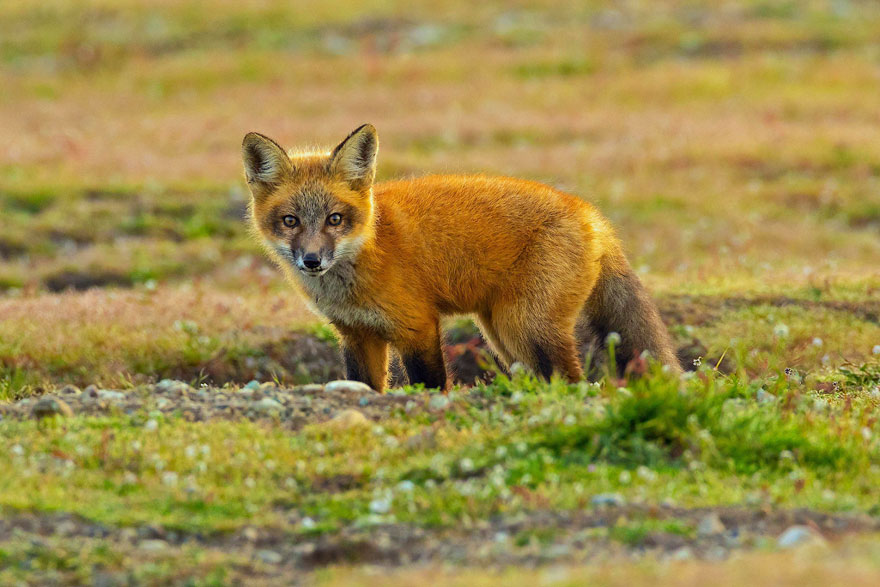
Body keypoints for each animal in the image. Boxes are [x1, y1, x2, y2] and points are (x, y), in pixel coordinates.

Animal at [242, 124, 680, 392]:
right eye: (290, 221)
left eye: (335, 219)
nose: (312, 260)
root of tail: (590, 212)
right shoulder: (356, 335)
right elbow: (365, 385)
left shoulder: (417, 326)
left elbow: (431, 383)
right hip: (504, 334)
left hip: (527, 326)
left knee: (571, 379)